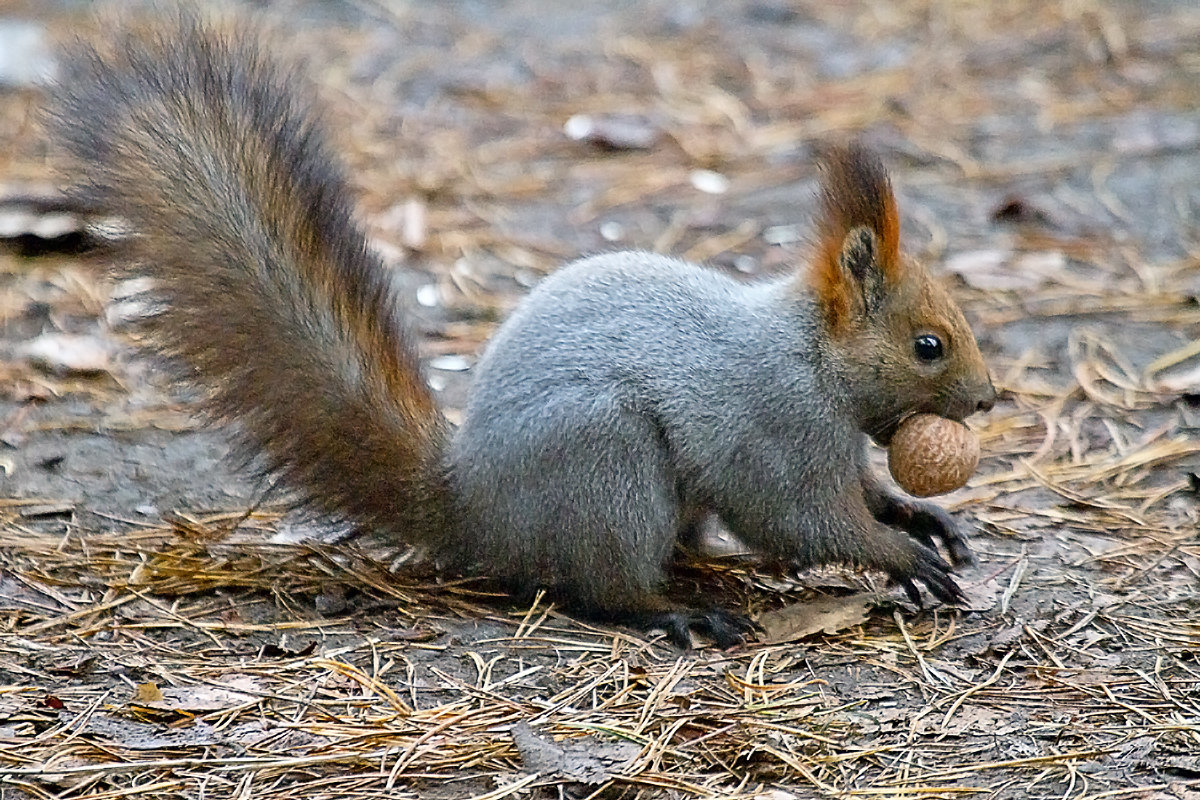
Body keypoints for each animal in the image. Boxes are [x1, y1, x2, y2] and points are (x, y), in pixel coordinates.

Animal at [49, 15, 993, 647]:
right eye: (928, 345)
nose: (987, 401)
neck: (813, 355)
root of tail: (476, 505)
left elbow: (859, 494)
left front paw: (921, 517)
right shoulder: (774, 425)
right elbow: (801, 518)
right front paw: (897, 554)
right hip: (607, 463)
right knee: (602, 587)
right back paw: (679, 613)